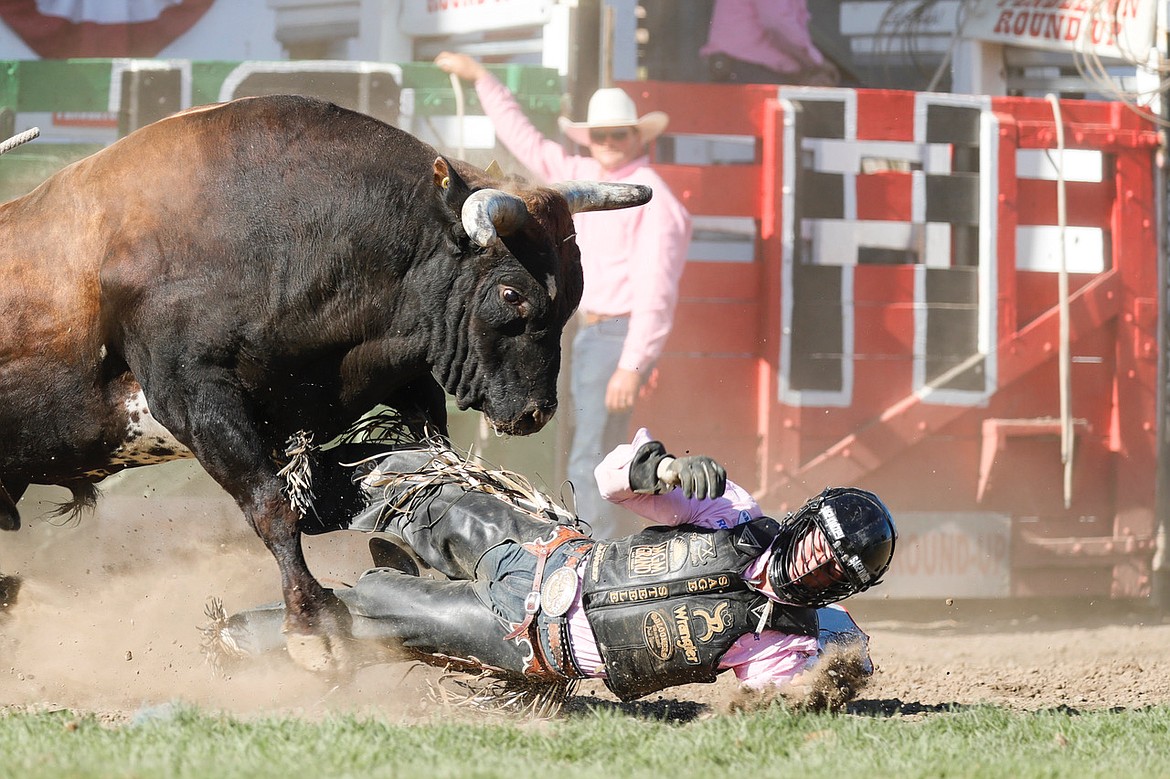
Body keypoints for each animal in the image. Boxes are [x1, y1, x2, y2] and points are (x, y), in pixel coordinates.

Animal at [0, 95, 650, 669]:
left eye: (573, 293)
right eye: (512, 294)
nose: (536, 411)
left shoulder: (399, 377)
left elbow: (429, 468)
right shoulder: (194, 398)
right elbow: (272, 508)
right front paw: (310, 626)